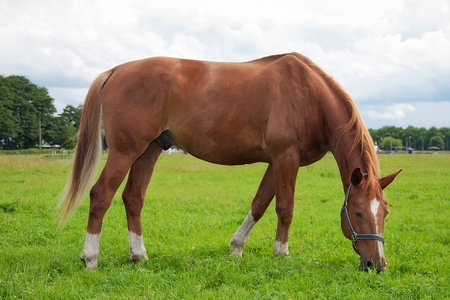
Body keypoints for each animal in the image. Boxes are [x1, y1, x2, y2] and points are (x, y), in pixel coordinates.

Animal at [59, 52, 400, 272]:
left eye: (384, 211)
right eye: (357, 213)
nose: (378, 264)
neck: (310, 94)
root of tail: (115, 70)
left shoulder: (277, 161)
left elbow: (260, 204)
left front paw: (236, 248)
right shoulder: (285, 157)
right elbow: (284, 208)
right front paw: (282, 254)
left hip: (148, 151)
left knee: (133, 198)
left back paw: (139, 256)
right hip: (125, 152)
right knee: (101, 195)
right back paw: (90, 258)